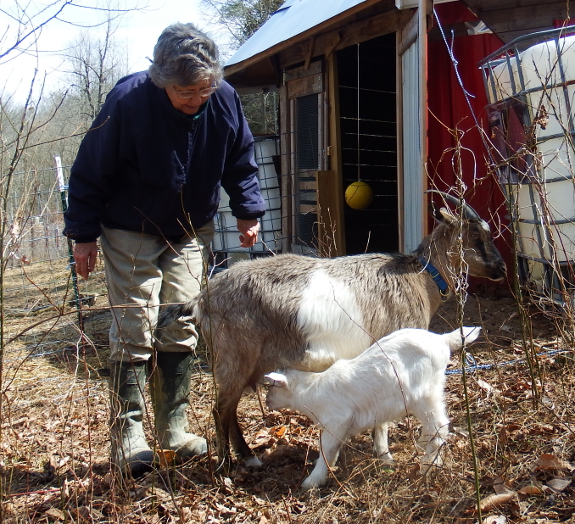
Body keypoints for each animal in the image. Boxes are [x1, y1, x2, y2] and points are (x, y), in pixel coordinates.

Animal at [158, 192, 504, 466]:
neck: (421, 276)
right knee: (220, 411)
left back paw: (247, 458)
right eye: (475, 236)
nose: (501, 268)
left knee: (228, 411)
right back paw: (227, 467)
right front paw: (384, 455)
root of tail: (201, 298)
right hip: (233, 357)